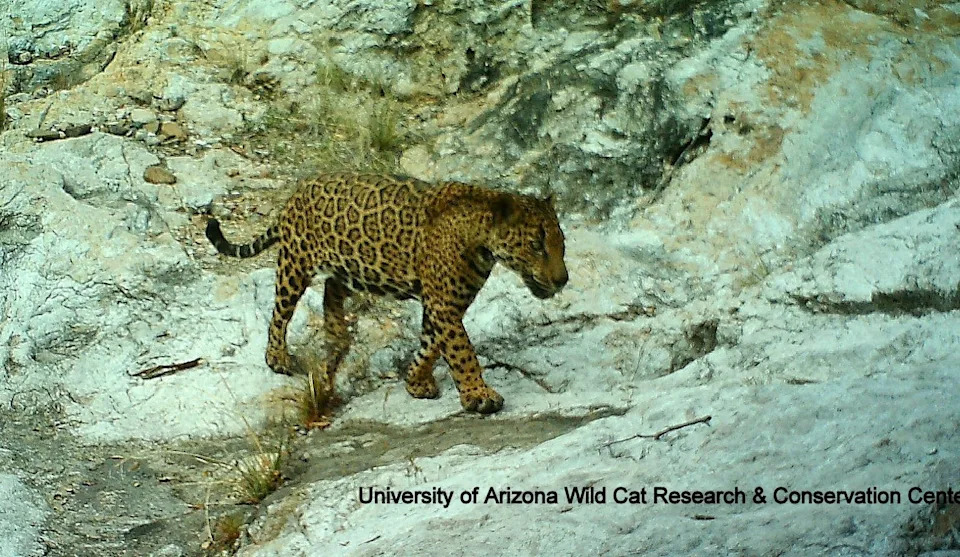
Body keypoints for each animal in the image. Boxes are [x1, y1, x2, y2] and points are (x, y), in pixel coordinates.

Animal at [205, 173, 568, 414]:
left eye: (560, 245)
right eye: (536, 245)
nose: (563, 280)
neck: (481, 236)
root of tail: (299, 191)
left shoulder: (442, 305)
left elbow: (431, 346)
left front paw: (416, 381)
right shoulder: (444, 305)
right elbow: (462, 352)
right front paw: (479, 395)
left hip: (349, 265)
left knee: (332, 288)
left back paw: (337, 334)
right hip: (296, 264)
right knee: (281, 311)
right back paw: (277, 356)